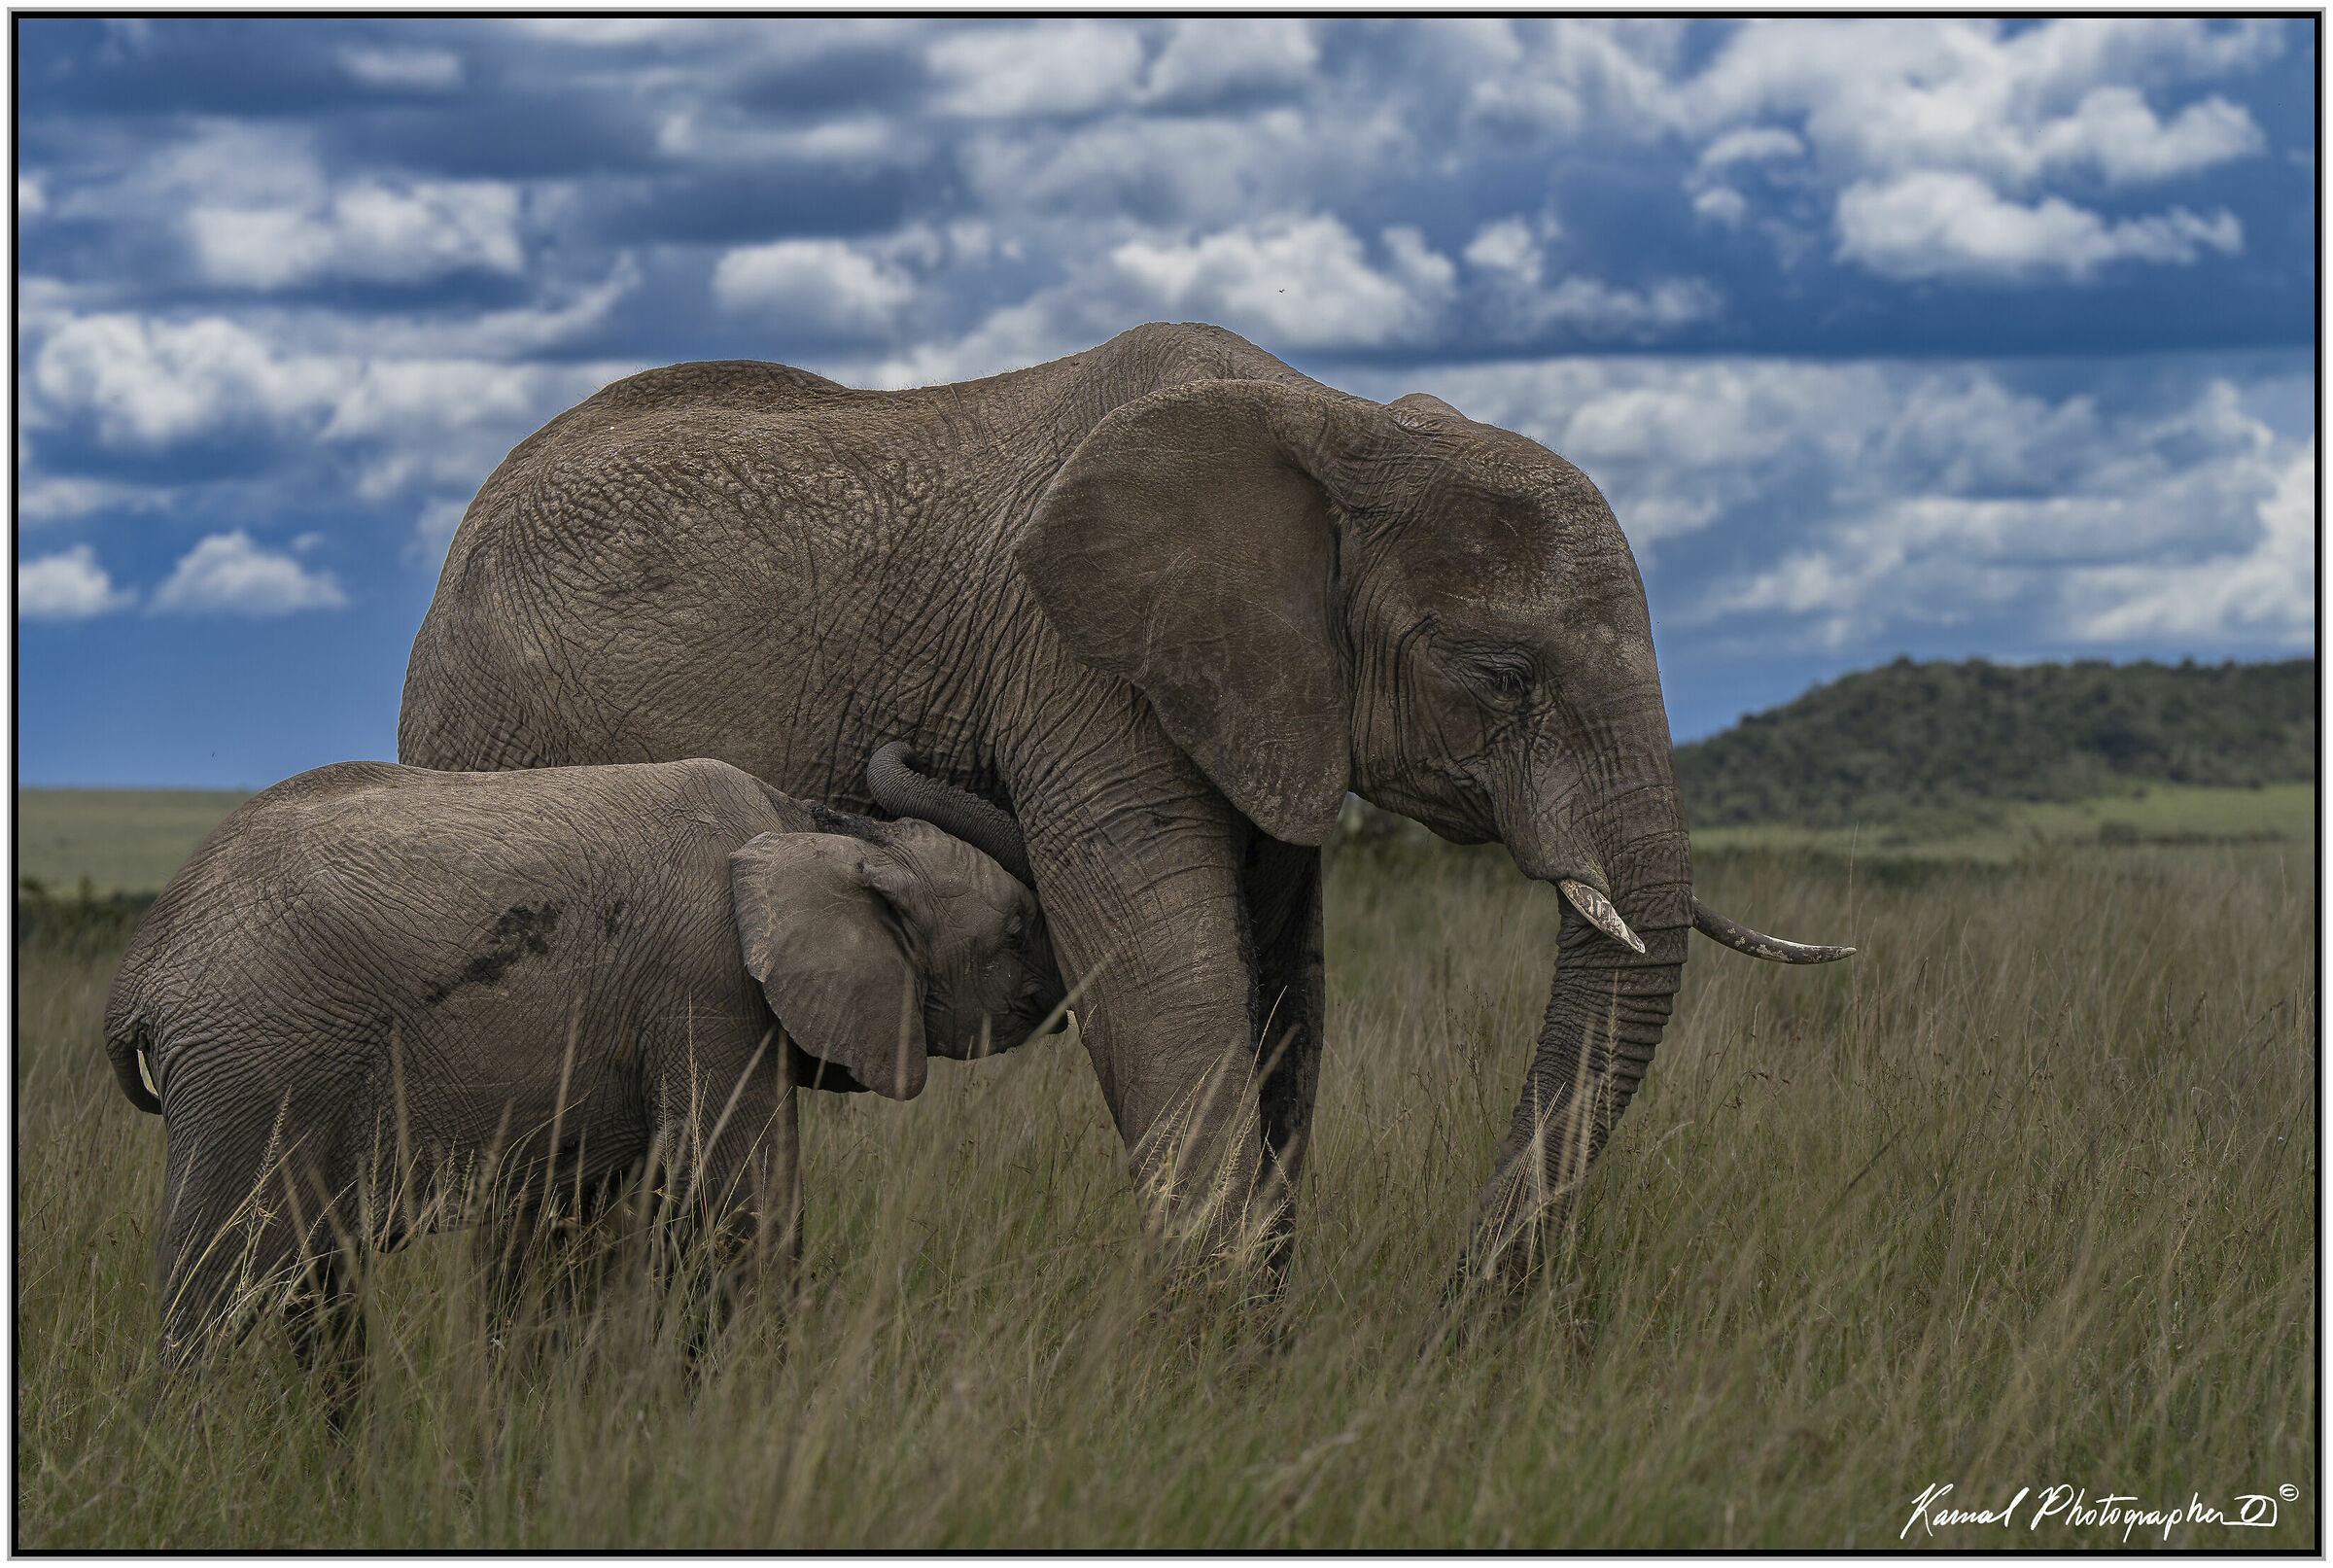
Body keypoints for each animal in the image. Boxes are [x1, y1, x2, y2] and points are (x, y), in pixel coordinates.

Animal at [103, 754, 1064, 1381]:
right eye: (1019, 928)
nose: (1061, 993)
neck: (809, 827)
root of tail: (137, 971)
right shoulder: (707, 986)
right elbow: (743, 1209)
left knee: (314, 1290)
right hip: (249, 1069)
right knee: (216, 1290)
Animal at [397, 321, 1849, 1276]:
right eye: (1496, 673)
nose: (1459, 1304)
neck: (1336, 422)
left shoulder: (1268, 700)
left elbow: (1284, 987)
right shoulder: (1078, 669)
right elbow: (1164, 969)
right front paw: (1217, 1352)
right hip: (487, 744)